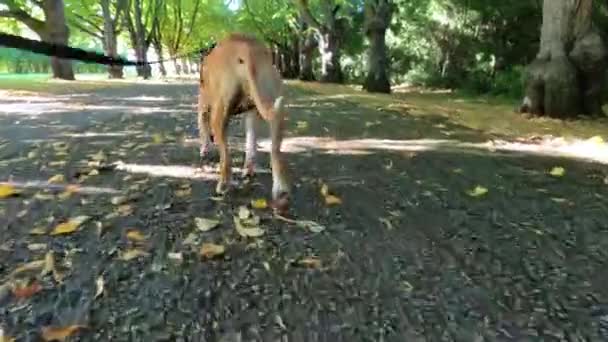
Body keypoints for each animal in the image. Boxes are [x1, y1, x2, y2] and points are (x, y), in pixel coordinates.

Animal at [196, 33, 288, 206]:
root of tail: (246, 48)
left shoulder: (203, 107)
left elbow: (203, 131)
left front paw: (204, 149)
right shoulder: (251, 114)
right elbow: (250, 145)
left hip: (219, 114)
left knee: (226, 158)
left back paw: (223, 185)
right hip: (272, 107)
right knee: (274, 150)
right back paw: (279, 189)